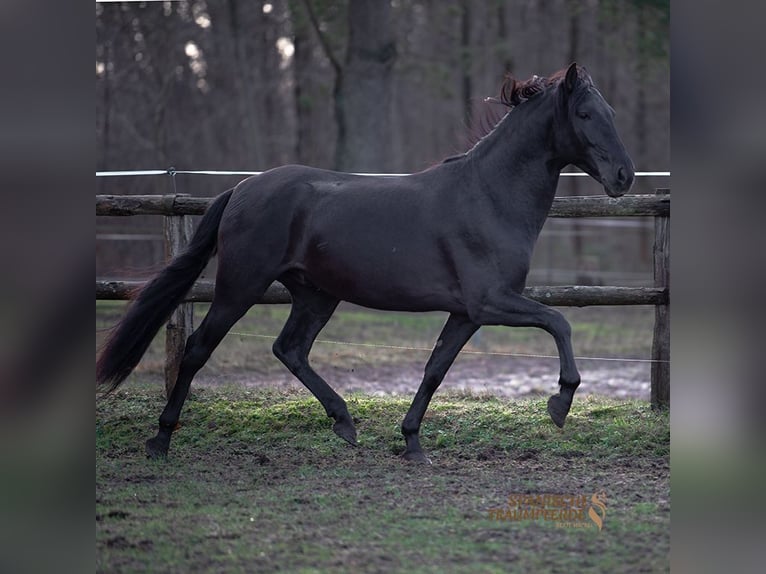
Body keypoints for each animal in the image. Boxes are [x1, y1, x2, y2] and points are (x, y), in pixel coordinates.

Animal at [97, 64, 636, 464]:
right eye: (585, 113)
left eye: (611, 111)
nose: (624, 177)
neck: (489, 196)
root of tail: (243, 187)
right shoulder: (491, 303)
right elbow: (559, 322)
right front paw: (560, 402)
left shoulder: (466, 313)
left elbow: (435, 369)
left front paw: (412, 442)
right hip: (240, 286)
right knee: (196, 349)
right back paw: (161, 440)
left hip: (316, 295)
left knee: (289, 349)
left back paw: (344, 421)